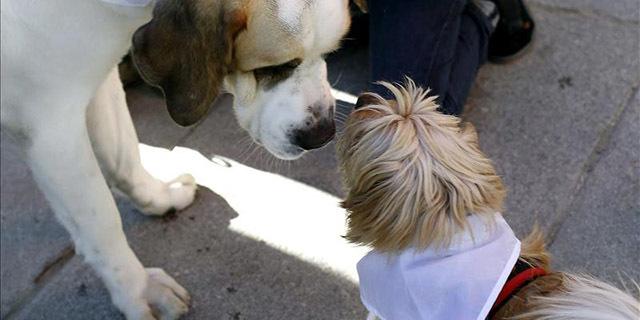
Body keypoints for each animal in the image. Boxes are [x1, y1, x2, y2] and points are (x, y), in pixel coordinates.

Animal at [1, 0, 350, 318]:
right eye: (271, 69)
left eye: (333, 51)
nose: (322, 134)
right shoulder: (51, 129)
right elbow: (102, 222)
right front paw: (140, 289)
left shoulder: (99, 82)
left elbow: (124, 155)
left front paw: (158, 198)